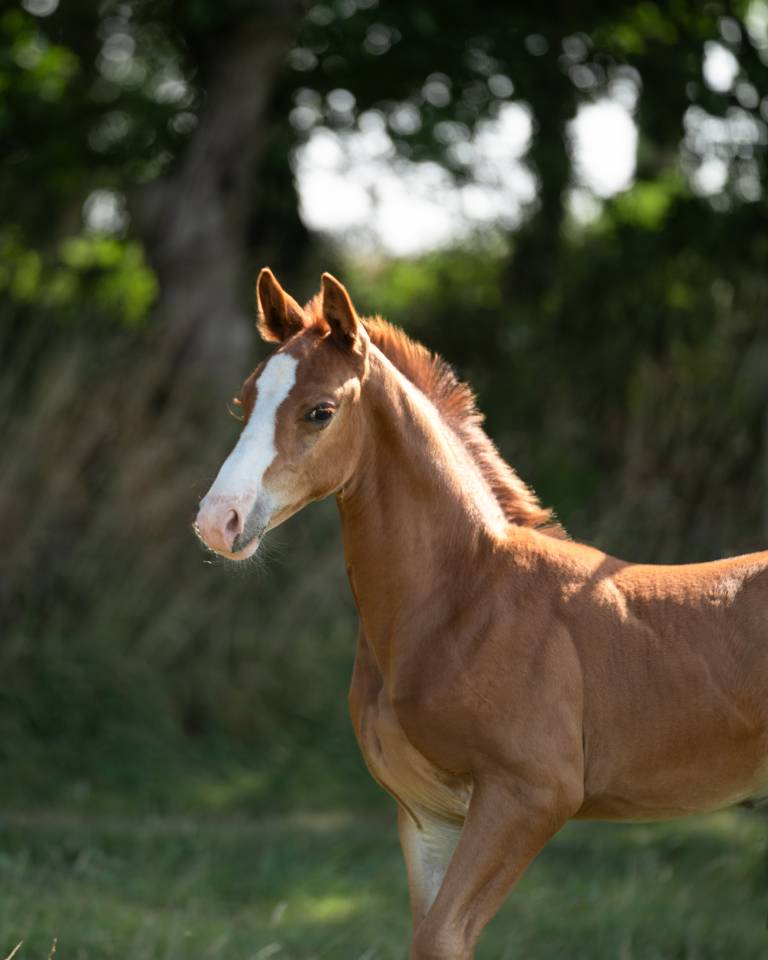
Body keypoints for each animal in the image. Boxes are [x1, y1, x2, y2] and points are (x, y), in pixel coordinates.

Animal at [195, 268, 768, 959]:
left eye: (319, 411)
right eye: (242, 403)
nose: (218, 521)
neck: (464, 601)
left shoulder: (529, 795)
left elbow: (443, 935)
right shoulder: (427, 813)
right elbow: (428, 934)